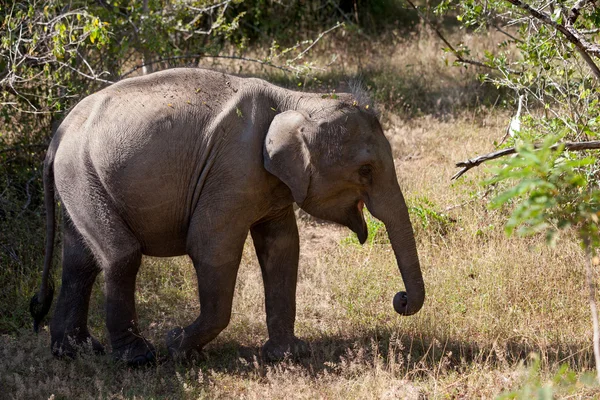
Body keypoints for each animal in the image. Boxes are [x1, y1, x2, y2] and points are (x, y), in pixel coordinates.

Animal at [28, 68, 422, 366]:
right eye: (366, 170)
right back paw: (140, 358)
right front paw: (177, 345)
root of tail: (57, 137)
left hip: (80, 182)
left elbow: (282, 247)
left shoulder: (269, 184)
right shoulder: (232, 171)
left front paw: (286, 356)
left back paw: (74, 352)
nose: (399, 299)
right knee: (120, 256)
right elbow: (211, 247)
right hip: (82, 175)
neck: (294, 100)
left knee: (79, 260)